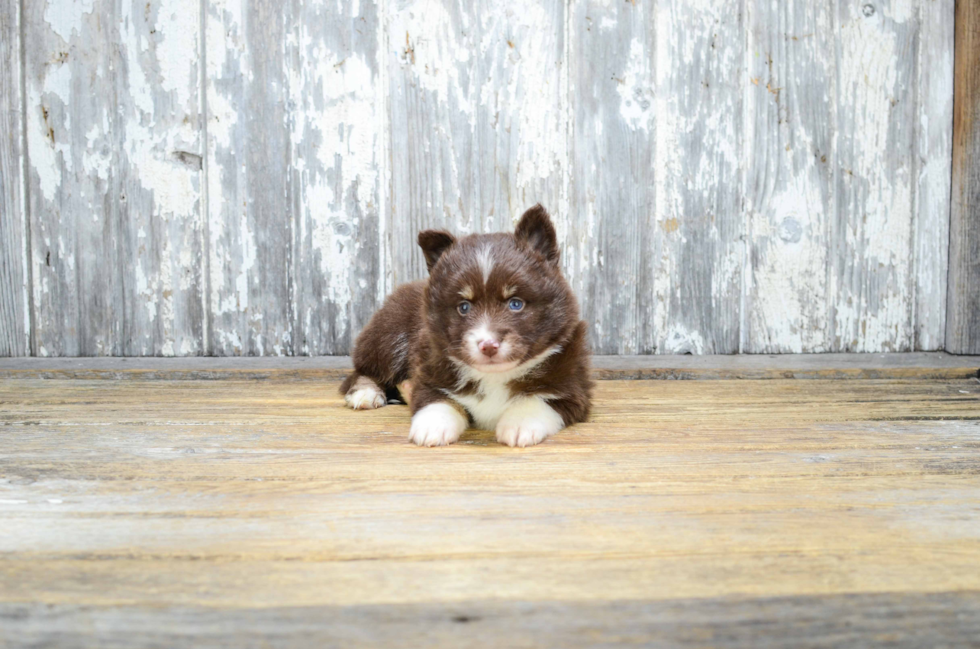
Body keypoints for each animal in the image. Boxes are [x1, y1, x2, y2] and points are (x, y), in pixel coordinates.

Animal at [340, 204, 592, 446]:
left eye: (516, 303)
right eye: (464, 307)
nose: (488, 346)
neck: (494, 376)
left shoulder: (571, 387)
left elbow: (538, 399)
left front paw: (520, 424)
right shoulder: (429, 372)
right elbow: (438, 400)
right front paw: (432, 426)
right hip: (388, 335)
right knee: (362, 371)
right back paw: (367, 392)